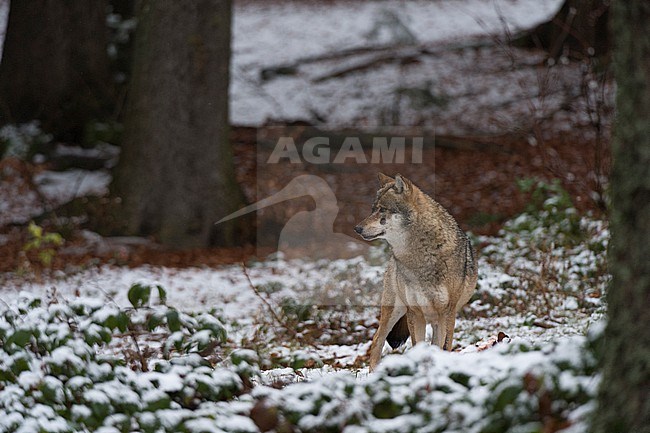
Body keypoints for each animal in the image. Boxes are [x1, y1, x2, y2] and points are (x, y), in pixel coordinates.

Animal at [354, 172, 476, 368]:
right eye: (373, 209)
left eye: (382, 209)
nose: (357, 228)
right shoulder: (415, 312)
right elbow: (418, 346)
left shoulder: (447, 313)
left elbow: (444, 346)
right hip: (393, 310)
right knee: (376, 340)